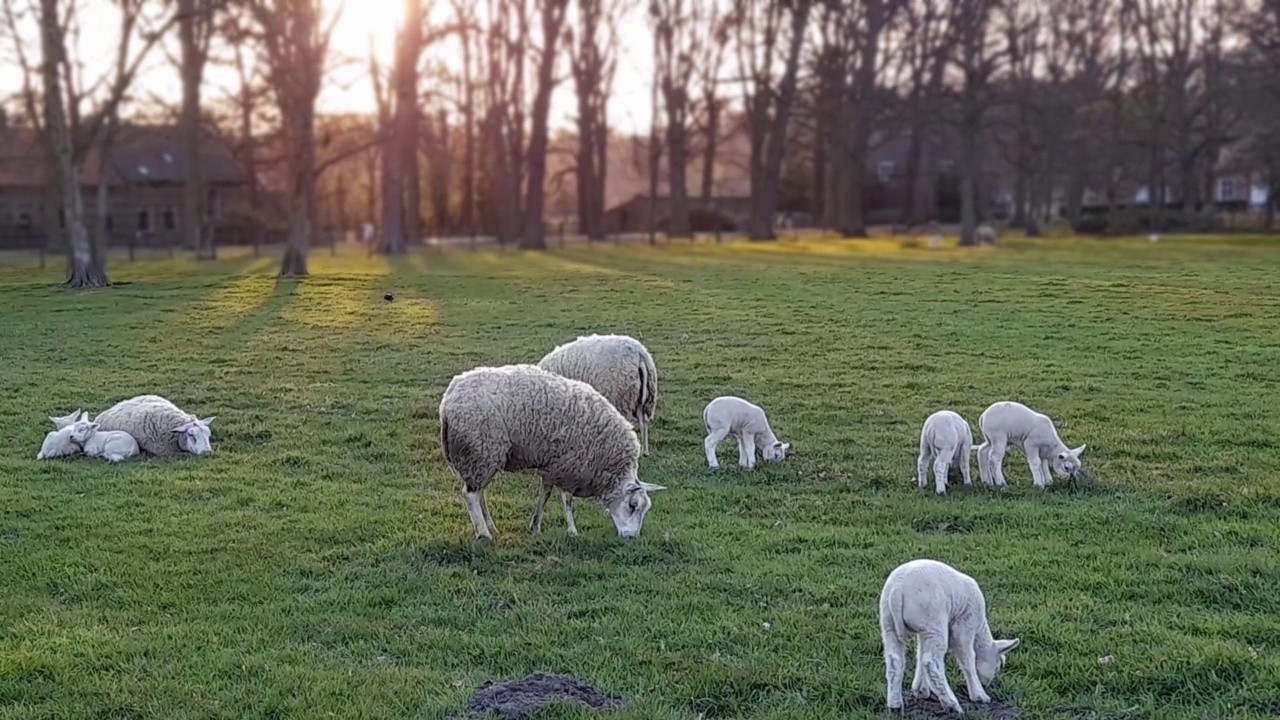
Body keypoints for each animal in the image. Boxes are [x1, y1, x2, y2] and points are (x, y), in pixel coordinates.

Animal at [437, 363, 665, 538]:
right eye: (633, 505)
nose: (631, 537)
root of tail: (448, 400)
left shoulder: (553, 464)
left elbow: (544, 494)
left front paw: (535, 526)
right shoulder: (571, 464)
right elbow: (567, 499)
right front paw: (572, 530)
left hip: (481, 457)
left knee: (479, 492)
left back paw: (491, 527)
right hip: (481, 449)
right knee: (470, 495)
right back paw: (484, 533)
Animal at [880, 556, 1018, 712]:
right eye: (998, 665)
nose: (987, 684)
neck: (980, 628)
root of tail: (897, 591)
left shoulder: (923, 632)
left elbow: (920, 654)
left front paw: (921, 690)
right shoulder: (965, 624)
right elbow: (967, 658)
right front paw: (979, 695)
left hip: (892, 623)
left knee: (895, 660)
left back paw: (895, 704)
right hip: (934, 621)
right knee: (931, 663)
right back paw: (952, 704)